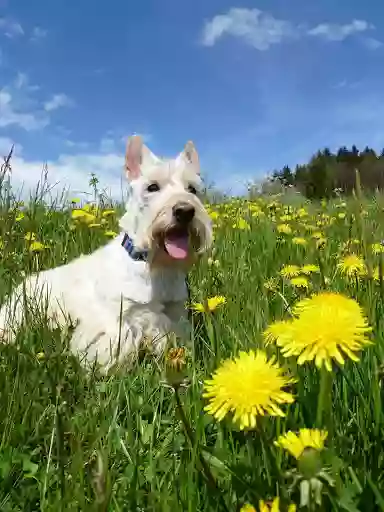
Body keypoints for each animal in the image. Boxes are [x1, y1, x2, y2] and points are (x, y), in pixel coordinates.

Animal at [0, 134, 213, 370]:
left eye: (192, 189)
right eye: (152, 187)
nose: (185, 211)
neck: (153, 265)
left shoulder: (174, 315)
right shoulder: (116, 318)